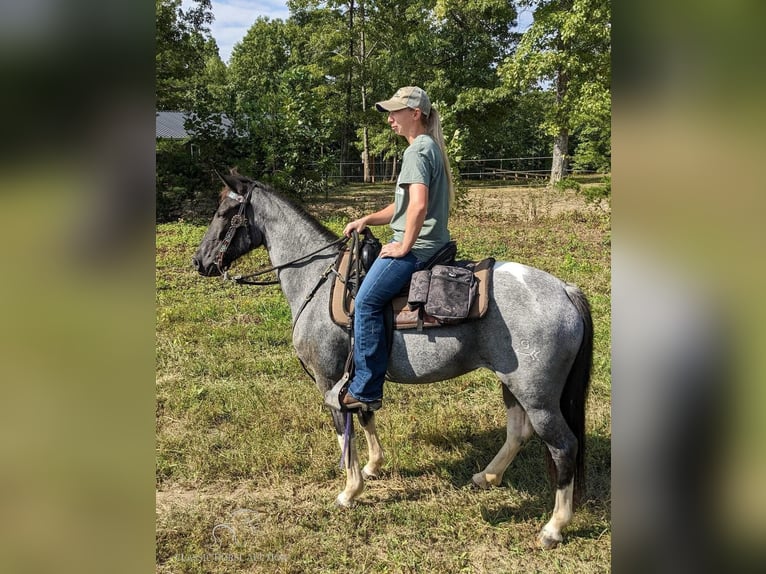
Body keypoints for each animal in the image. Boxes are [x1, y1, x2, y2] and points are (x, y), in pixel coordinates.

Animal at [192, 173, 592, 552]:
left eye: (224, 213)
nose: (200, 262)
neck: (318, 282)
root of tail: (565, 290)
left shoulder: (330, 380)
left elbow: (344, 430)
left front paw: (349, 491)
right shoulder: (359, 375)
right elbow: (366, 413)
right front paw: (373, 466)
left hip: (538, 397)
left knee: (563, 447)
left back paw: (553, 529)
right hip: (512, 384)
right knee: (518, 432)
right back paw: (487, 477)